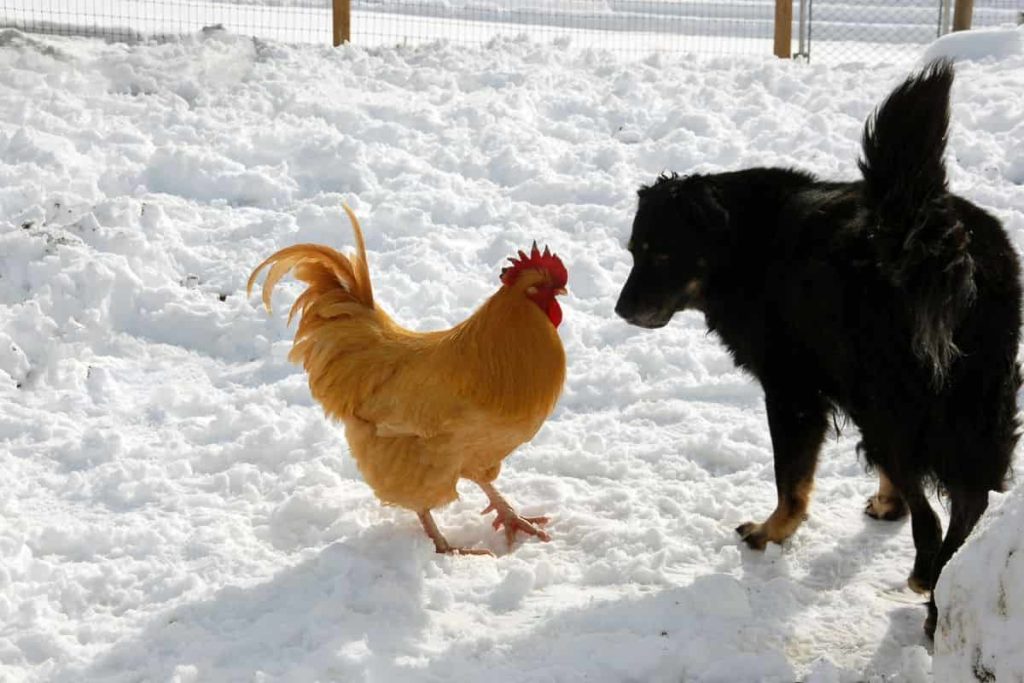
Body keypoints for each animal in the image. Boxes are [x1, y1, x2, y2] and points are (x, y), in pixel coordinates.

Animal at [610, 61, 1019, 638]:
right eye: (633, 251)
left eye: (662, 254)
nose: (621, 310)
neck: (744, 243)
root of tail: (941, 239)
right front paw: (886, 503)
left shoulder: (792, 391)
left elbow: (791, 480)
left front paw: (771, 532)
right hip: (975, 402)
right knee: (969, 503)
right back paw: (942, 593)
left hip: (891, 408)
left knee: (934, 516)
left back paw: (926, 582)